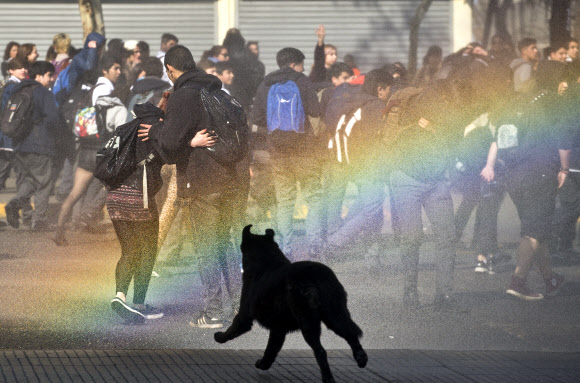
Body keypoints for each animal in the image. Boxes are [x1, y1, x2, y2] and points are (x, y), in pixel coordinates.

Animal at [213, 226, 368, 382]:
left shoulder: (245, 313)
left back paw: (328, 378)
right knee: (350, 334)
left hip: (307, 319)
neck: (266, 261)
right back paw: (361, 359)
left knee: (321, 351)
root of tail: (317, 277)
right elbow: (271, 349)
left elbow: (234, 327)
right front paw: (263, 364)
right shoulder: (278, 327)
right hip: (335, 313)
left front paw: (219, 337)